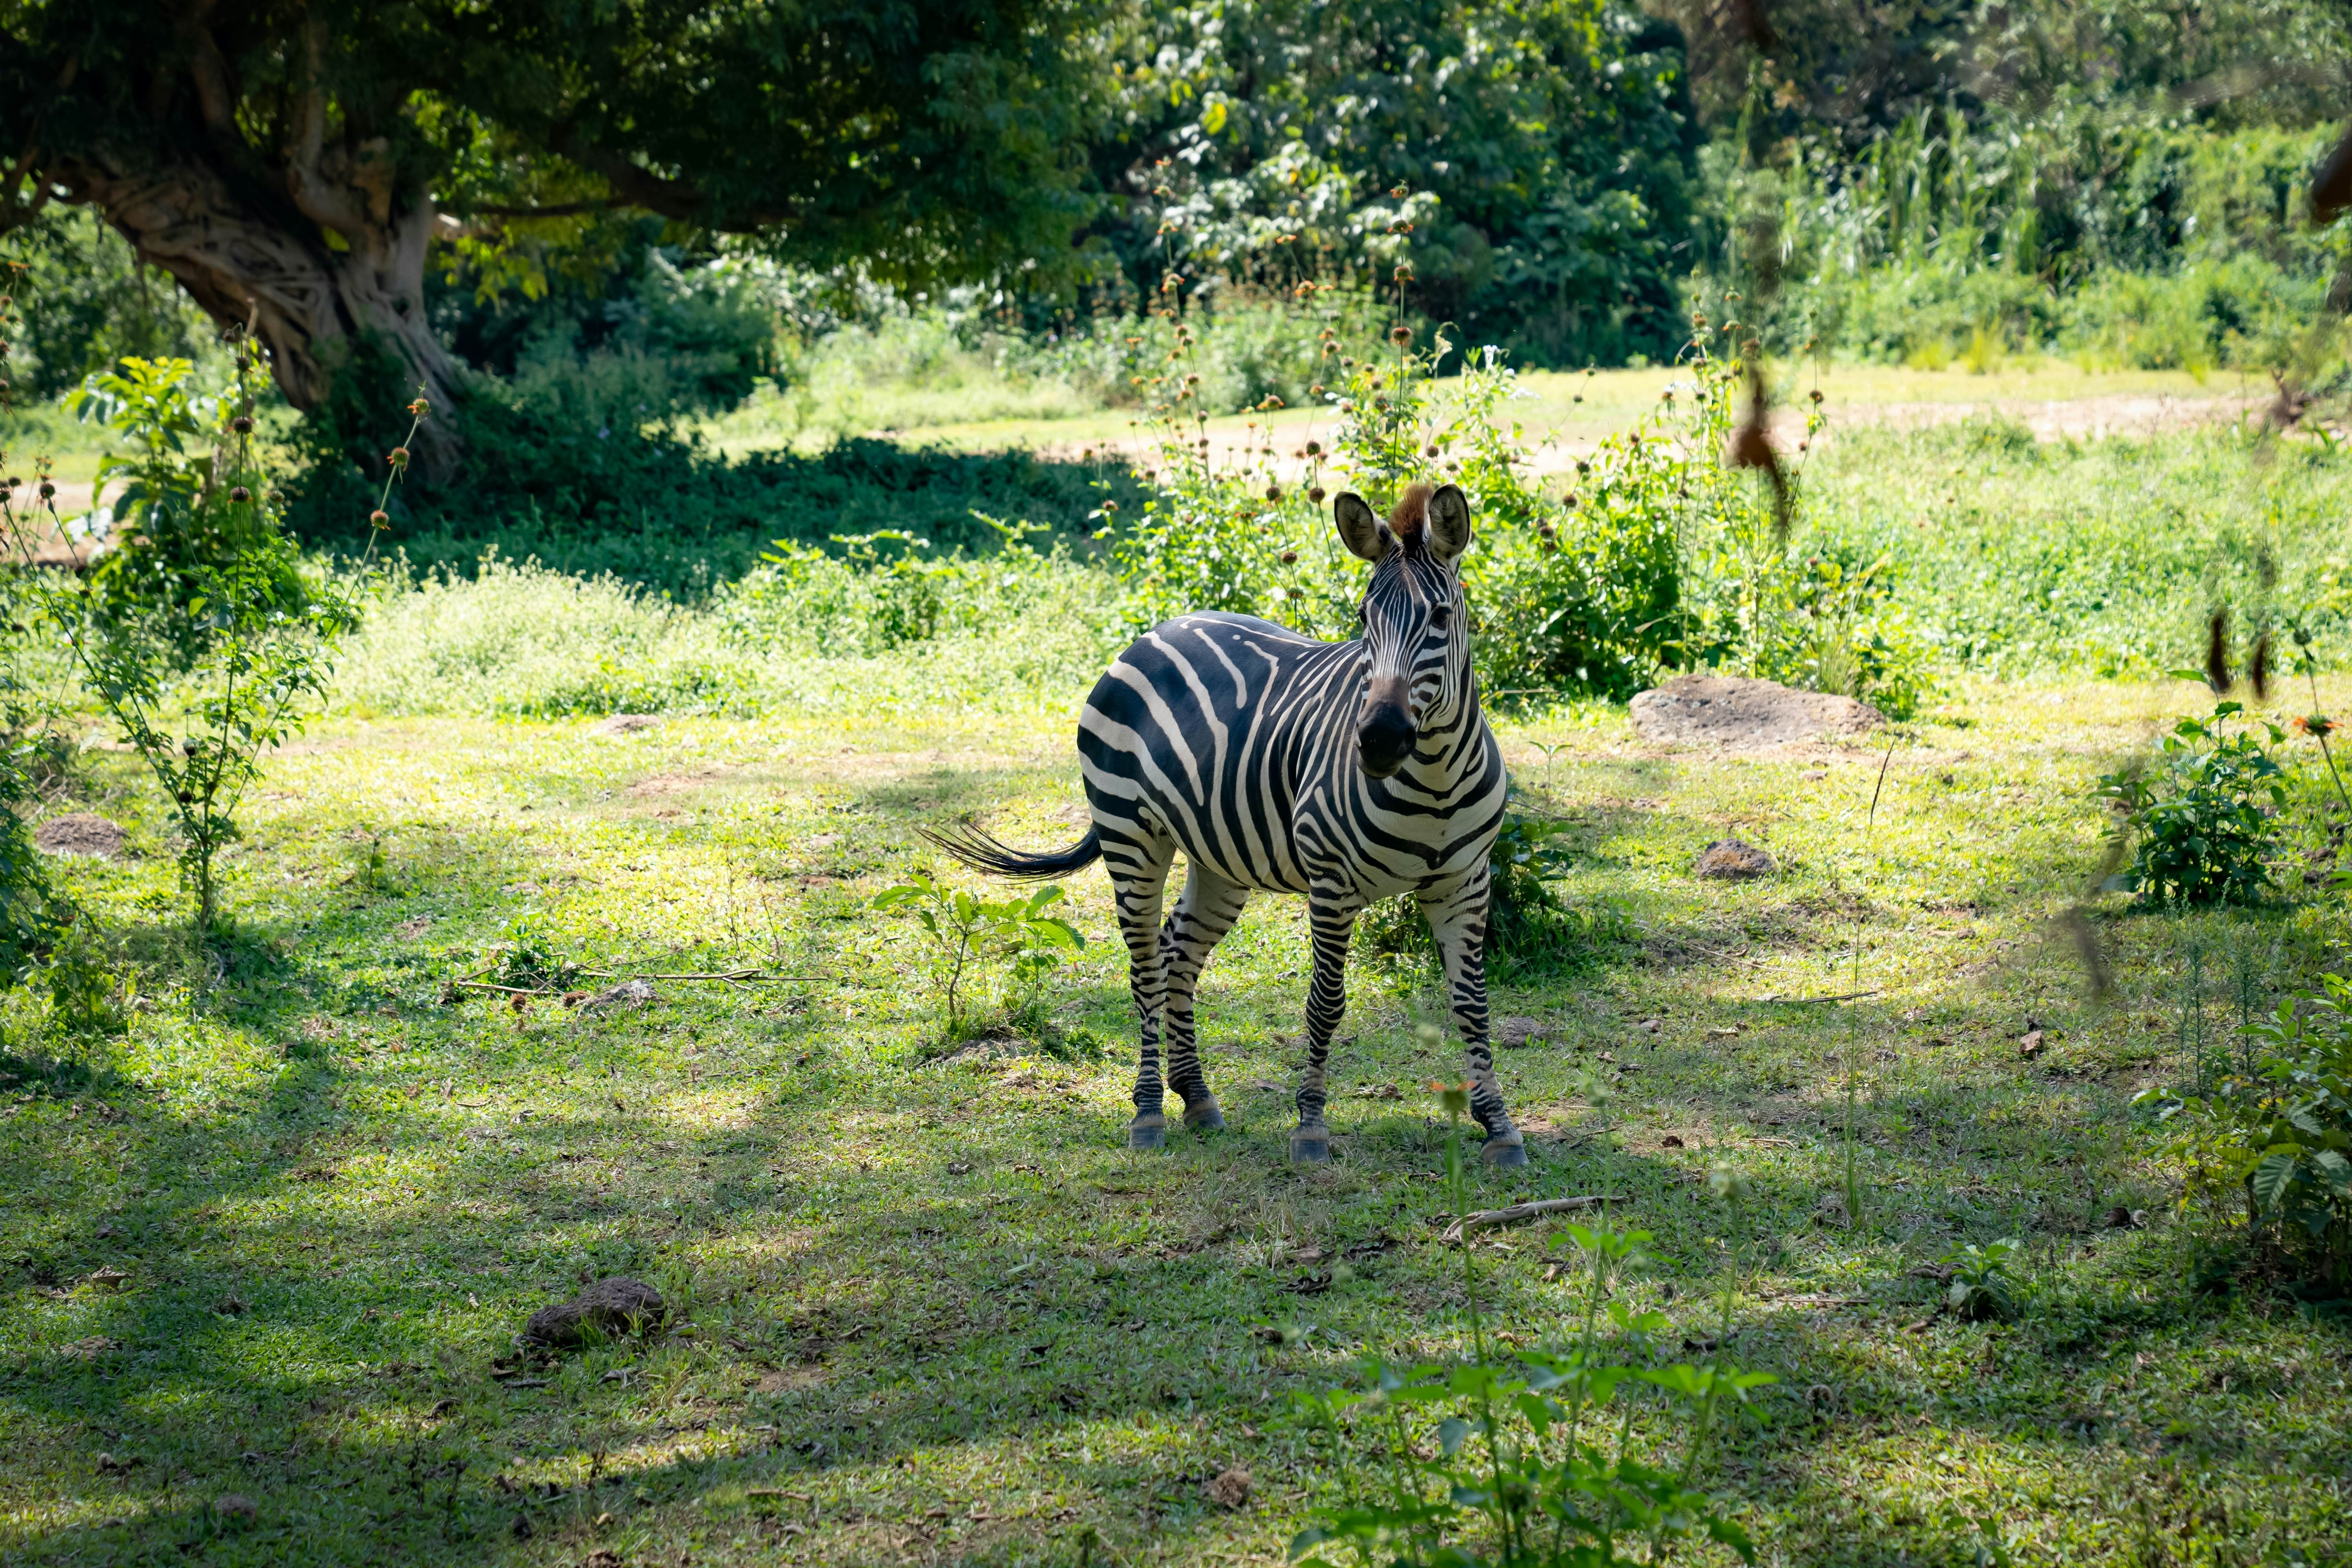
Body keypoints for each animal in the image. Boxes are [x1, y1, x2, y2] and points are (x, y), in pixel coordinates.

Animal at [926, 481, 1524, 1166]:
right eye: (1362, 621)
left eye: (1442, 619)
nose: (1377, 740)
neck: (1434, 778)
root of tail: (1150, 636)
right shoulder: (1332, 883)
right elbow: (1326, 1003)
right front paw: (1311, 1126)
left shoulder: (1466, 883)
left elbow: (1473, 1003)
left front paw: (1499, 1125)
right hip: (1132, 837)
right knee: (1145, 966)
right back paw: (1149, 1112)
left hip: (1218, 858)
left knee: (1178, 954)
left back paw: (1198, 1098)